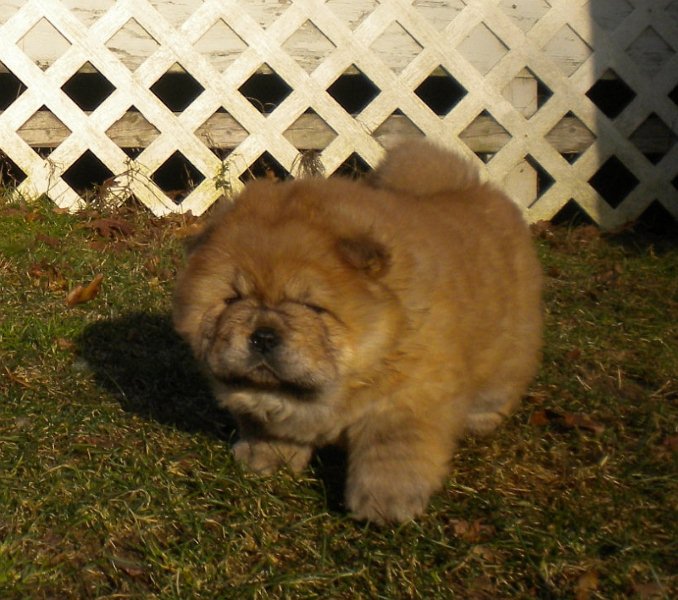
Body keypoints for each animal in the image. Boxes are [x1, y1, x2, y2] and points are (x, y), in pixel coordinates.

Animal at [173, 138, 544, 524]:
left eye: (311, 306)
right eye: (234, 299)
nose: (263, 334)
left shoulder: (405, 400)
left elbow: (392, 455)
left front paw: (385, 508)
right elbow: (269, 429)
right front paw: (264, 460)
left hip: (510, 346)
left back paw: (478, 421)